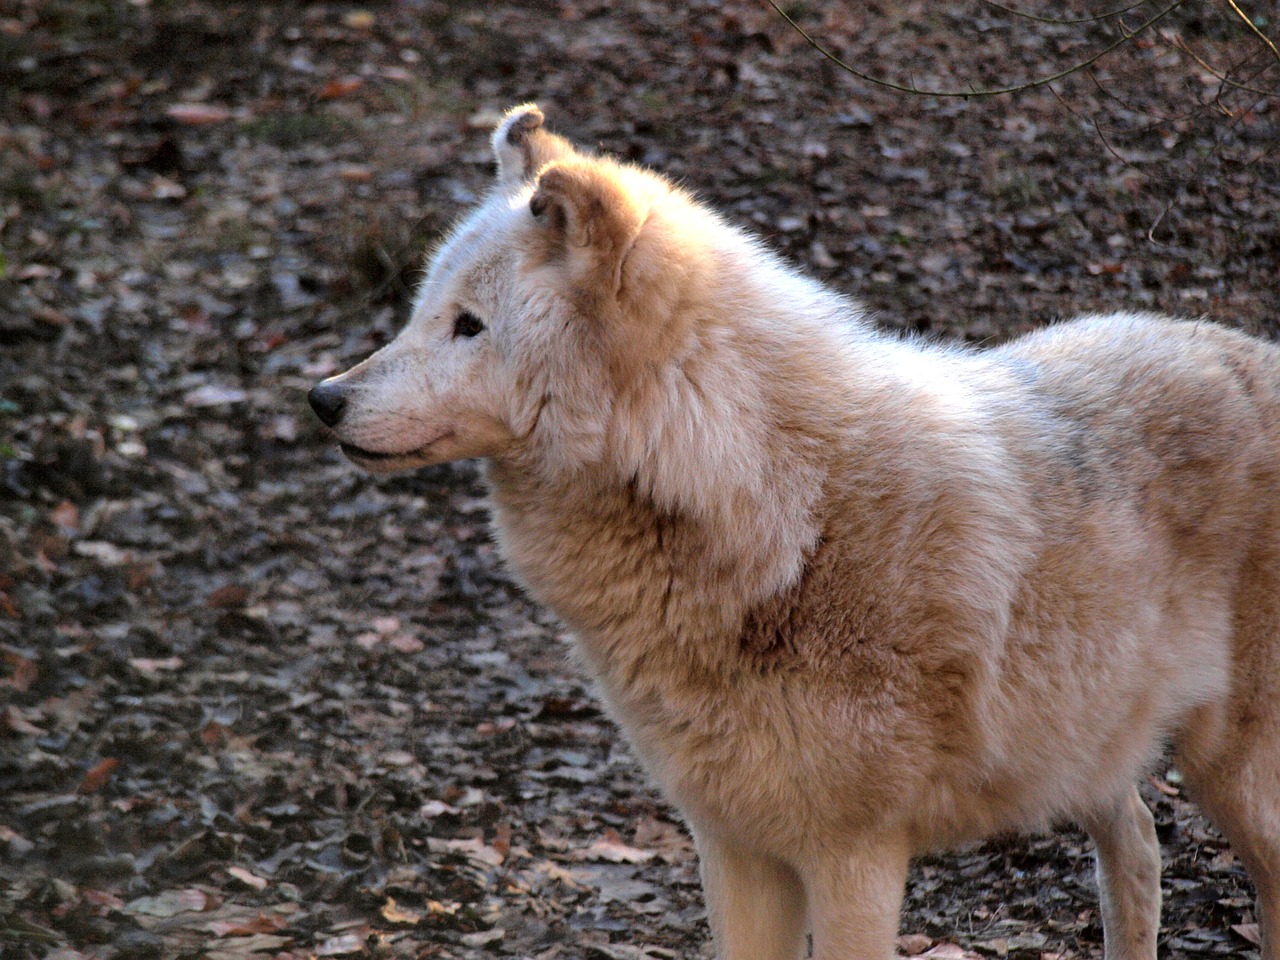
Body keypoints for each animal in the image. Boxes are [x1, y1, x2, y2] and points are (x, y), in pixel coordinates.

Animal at [307, 104, 1280, 960]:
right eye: (422, 313)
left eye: (468, 327)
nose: (322, 399)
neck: (780, 508)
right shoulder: (733, 845)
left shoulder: (854, 857)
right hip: (1087, 755)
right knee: (1142, 846)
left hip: (1228, 773)